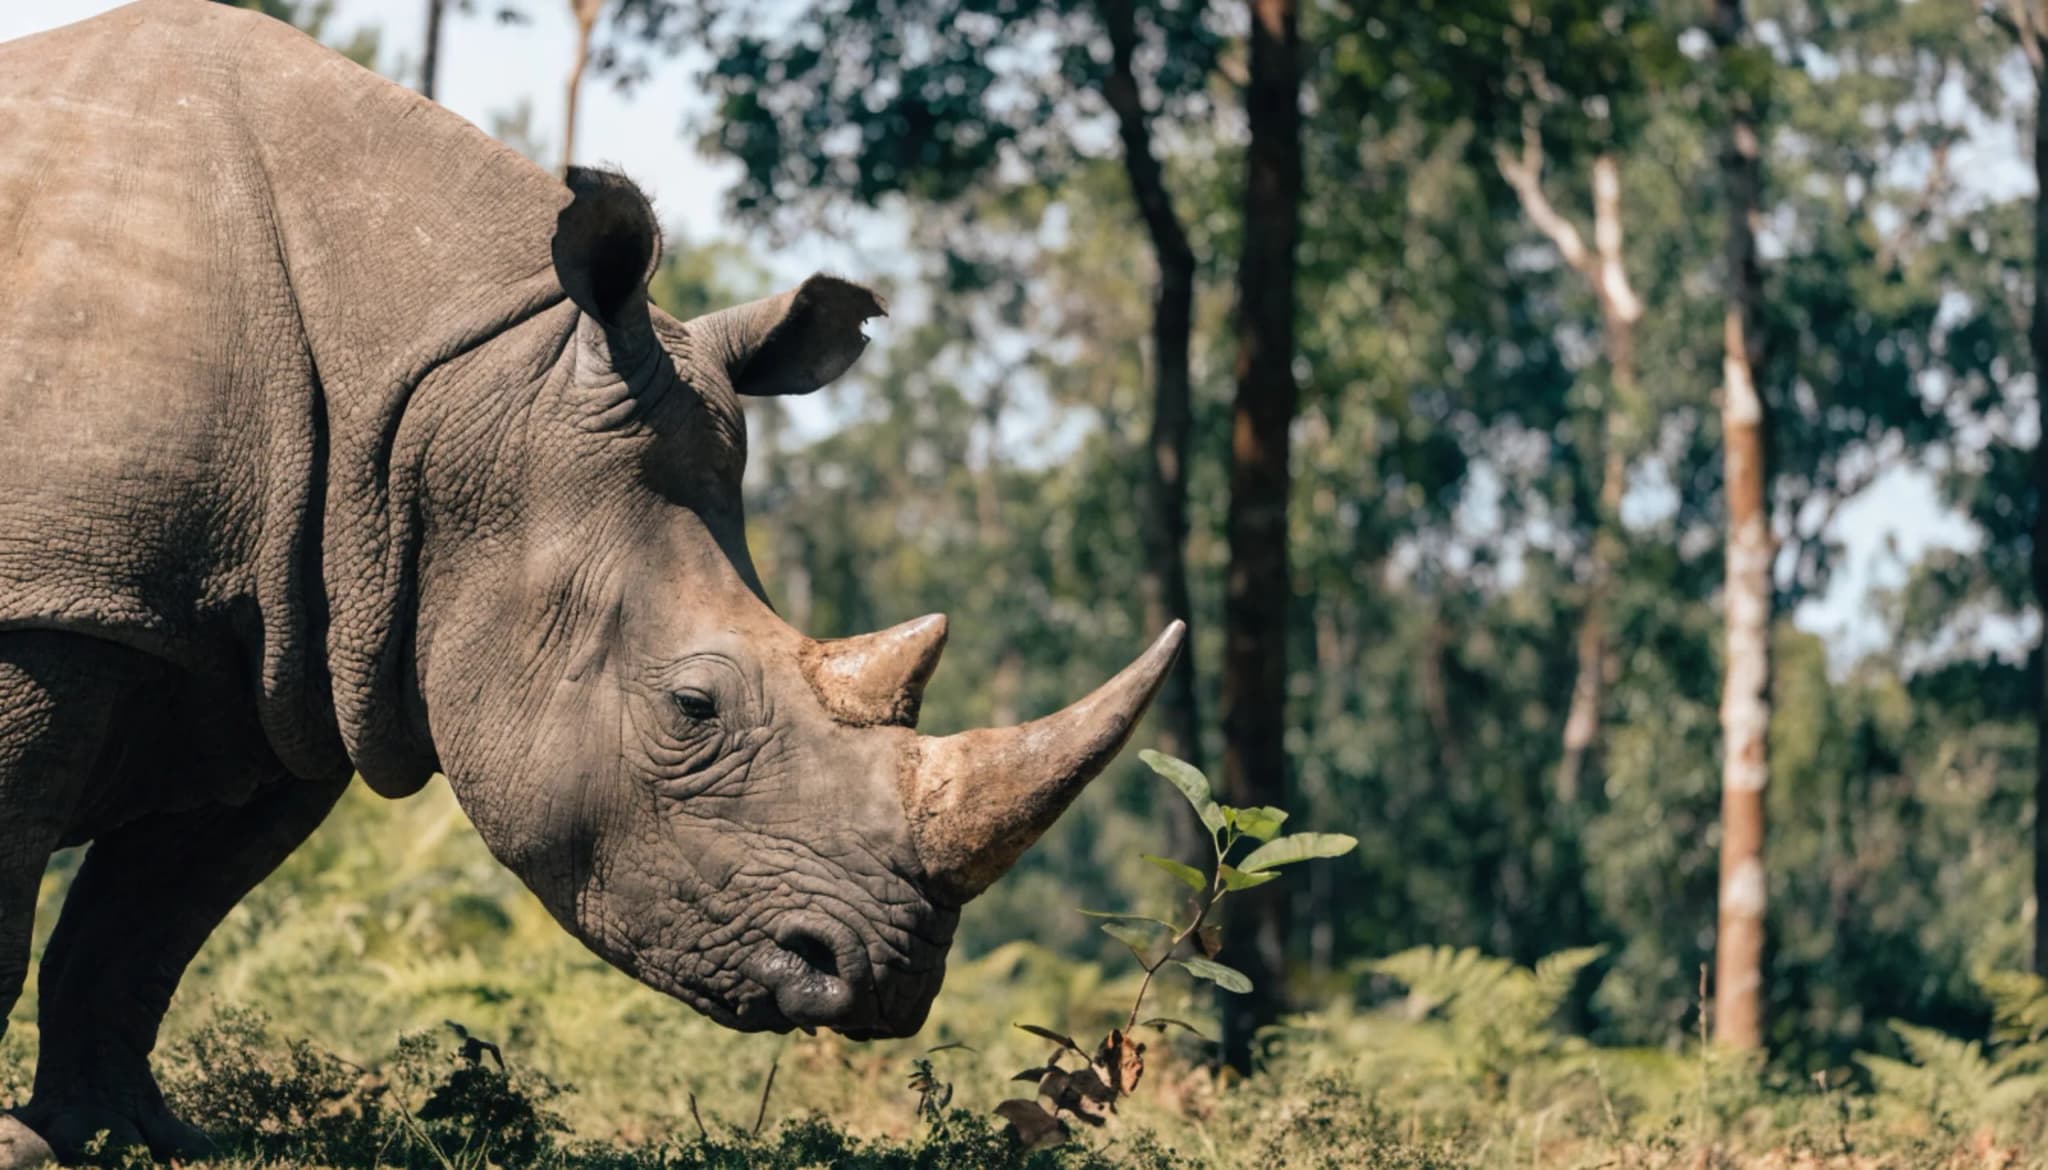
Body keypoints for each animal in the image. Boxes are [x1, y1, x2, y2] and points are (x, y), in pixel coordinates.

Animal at [0, 2, 1183, 1163]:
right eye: (693, 707)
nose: (882, 980)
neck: (455, 391)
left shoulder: (291, 655)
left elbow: (140, 929)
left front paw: (125, 1137)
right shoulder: (56, 607)